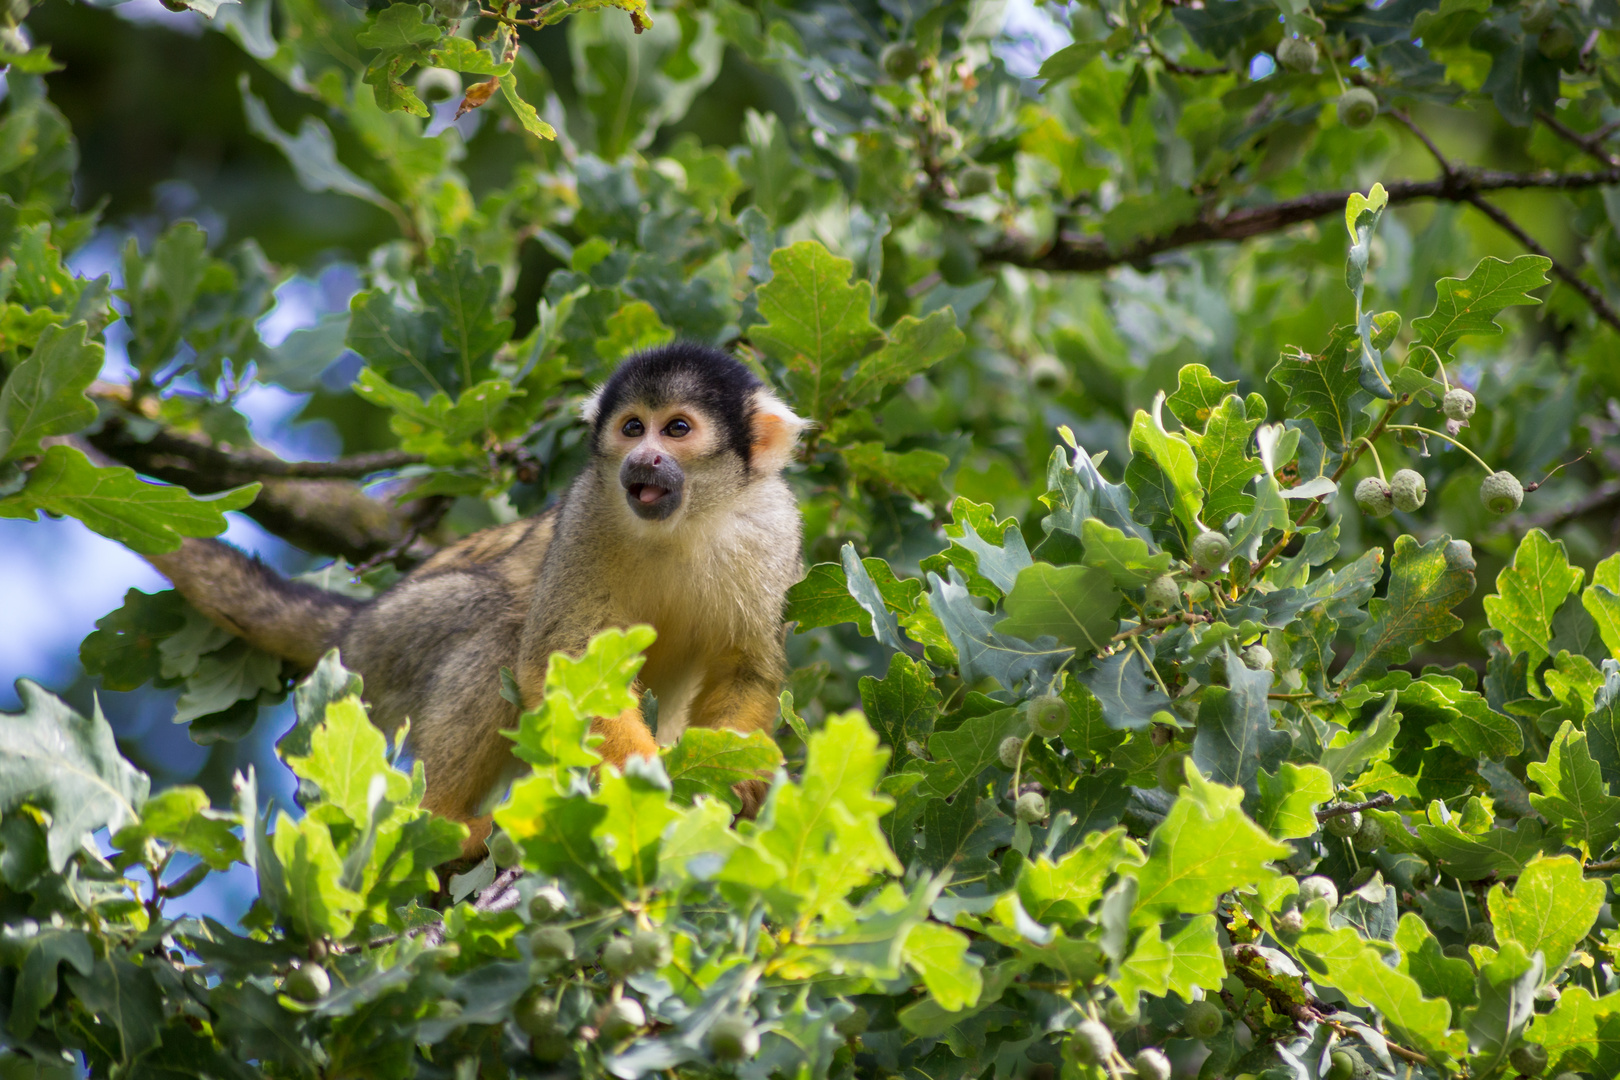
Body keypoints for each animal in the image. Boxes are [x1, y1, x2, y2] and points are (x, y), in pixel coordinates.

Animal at [149, 346, 806, 854]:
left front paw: (741, 773)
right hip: (389, 644)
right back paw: (442, 822)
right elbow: (561, 662)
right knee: (500, 628)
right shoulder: (589, 509)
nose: (644, 458)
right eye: (631, 427)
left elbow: (745, 667)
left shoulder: (775, 530)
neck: (683, 523)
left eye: (676, 429)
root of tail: (354, 625)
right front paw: (649, 781)